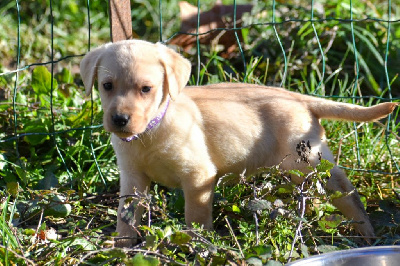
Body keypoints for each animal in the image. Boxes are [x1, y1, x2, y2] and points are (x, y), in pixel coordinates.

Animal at [80, 39, 396, 247]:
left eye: (146, 89)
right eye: (107, 86)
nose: (119, 119)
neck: (151, 131)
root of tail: (298, 98)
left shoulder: (198, 177)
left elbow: (195, 218)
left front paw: (196, 246)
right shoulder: (132, 178)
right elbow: (126, 215)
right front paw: (122, 246)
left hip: (309, 162)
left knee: (347, 193)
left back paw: (365, 230)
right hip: (299, 170)